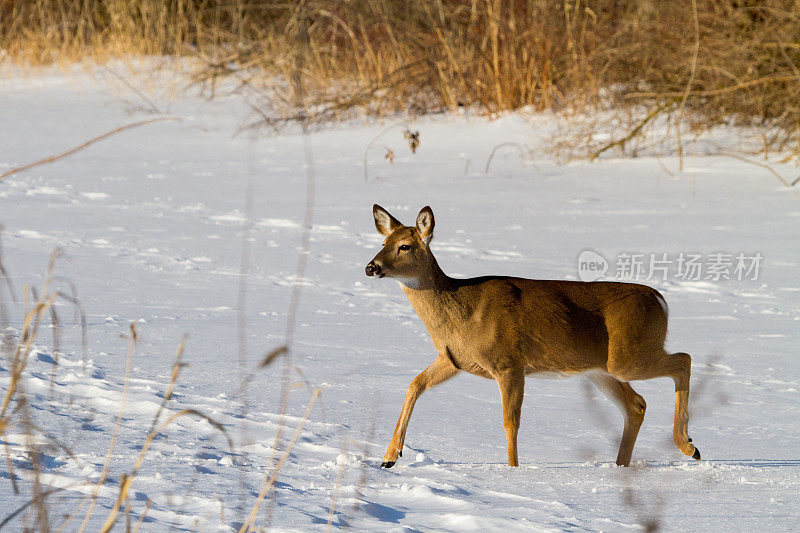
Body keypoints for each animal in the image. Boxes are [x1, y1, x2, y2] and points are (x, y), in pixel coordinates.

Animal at [366, 204, 704, 466]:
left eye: (405, 246)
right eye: (383, 241)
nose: (371, 267)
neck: (461, 313)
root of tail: (661, 300)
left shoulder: (509, 362)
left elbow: (510, 422)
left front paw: (513, 471)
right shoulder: (453, 360)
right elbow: (414, 384)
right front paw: (389, 457)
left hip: (628, 355)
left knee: (684, 359)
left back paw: (688, 445)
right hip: (601, 368)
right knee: (637, 404)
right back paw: (622, 466)